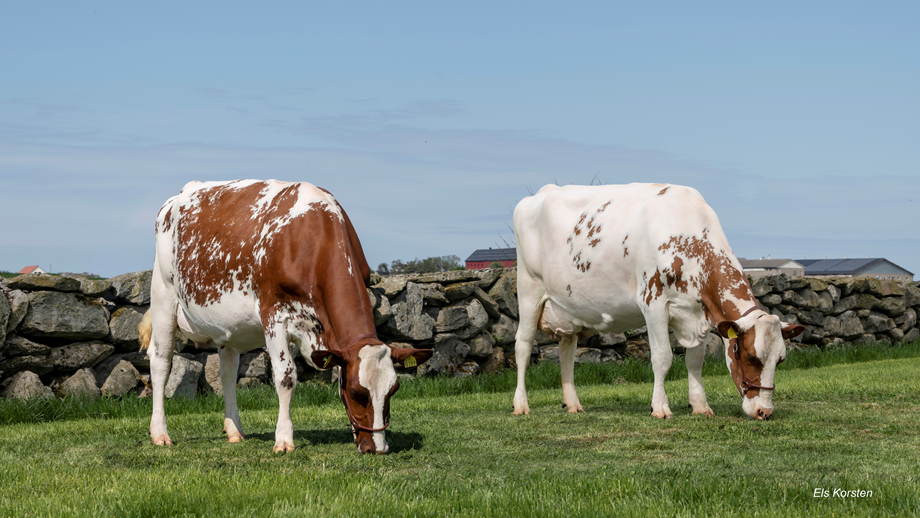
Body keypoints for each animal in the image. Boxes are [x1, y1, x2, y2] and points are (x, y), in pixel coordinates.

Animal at [139, 182, 432, 456]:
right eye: (357, 392)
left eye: (392, 391)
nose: (378, 448)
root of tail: (178, 196)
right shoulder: (274, 316)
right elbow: (286, 376)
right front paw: (283, 440)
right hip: (163, 295)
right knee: (161, 362)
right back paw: (160, 434)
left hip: (228, 327)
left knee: (227, 371)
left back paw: (234, 430)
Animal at [512, 183, 800, 422]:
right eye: (751, 356)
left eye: (780, 360)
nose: (764, 411)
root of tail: (539, 194)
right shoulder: (654, 304)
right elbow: (663, 358)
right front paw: (660, 407)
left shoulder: (700, 312)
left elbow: (695, 361)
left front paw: (700, 406)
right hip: (529, 290)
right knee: (523, 346)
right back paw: (521, 405)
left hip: (567, 308)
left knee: (567, 351)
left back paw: (572, 403)